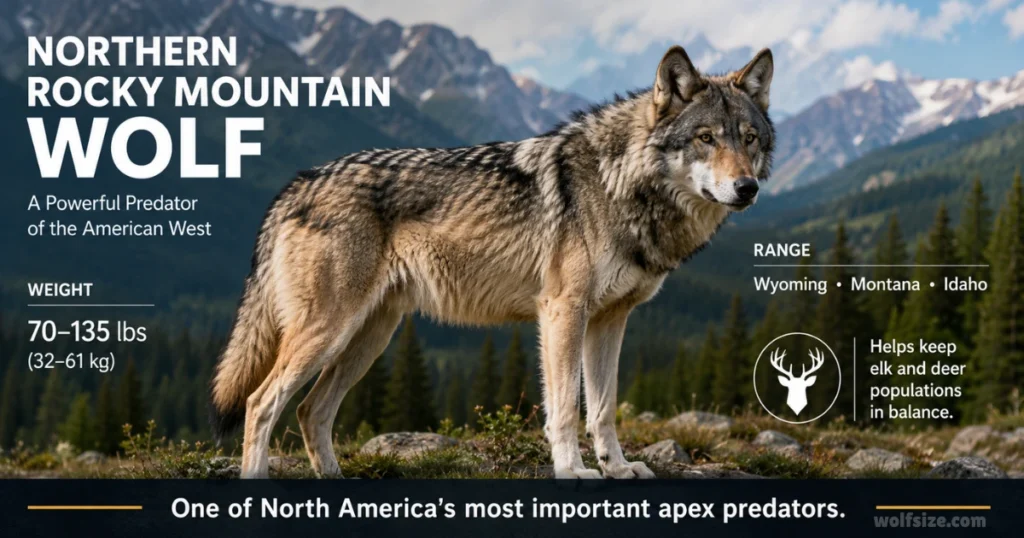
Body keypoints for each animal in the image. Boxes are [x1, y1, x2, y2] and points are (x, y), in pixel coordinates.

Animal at [209, 45, 775, 479]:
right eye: (706, 138)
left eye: (748, 138)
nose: (747, 188)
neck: (621, 181)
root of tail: (297, 183)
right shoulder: (563, 311)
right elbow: (566, 407)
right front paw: (574, 471)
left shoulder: (611, 321)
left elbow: (604, 409)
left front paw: (616, 468)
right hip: (330, 331)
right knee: (261, 403)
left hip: (369, 338)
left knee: (311, 411)